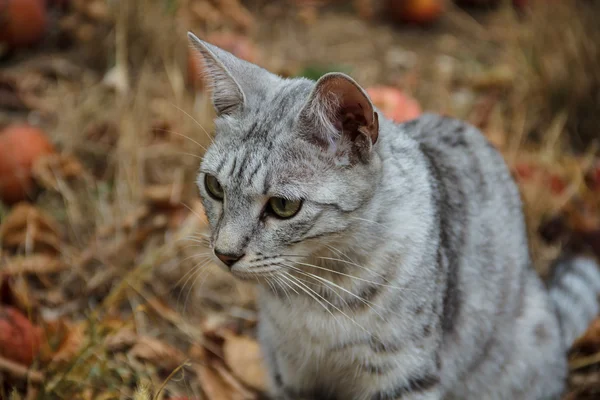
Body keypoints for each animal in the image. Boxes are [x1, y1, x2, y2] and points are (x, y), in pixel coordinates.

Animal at [189, 32, 600, 400]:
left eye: (282, 206)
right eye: (214, 186)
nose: (224, 254)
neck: (317, 294)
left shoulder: (404, 375)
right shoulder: (291, 373)